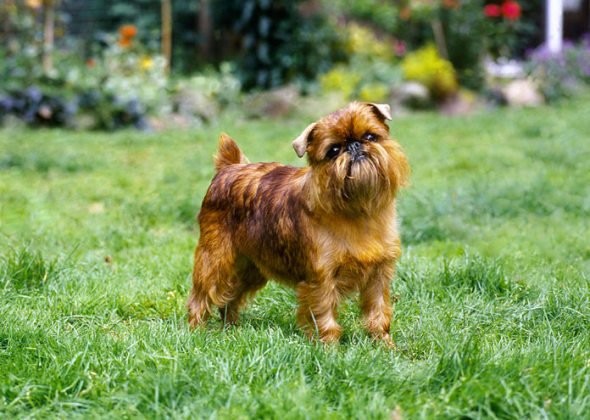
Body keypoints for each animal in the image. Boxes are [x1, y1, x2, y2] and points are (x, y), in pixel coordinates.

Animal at [187, 102, 410, 344]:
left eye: (370, 136)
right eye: (333, 150)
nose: (354, 145)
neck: (358, 209)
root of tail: (229, 167)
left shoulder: (379, 275)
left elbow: (378, 312)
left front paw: (384, 344)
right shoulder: (321, 278)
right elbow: (324, 315)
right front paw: (329, 347)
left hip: (252, 267)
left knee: (231, 297)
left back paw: (231, 328)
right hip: (215, 259)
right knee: (202, 295)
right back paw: (196, 330)